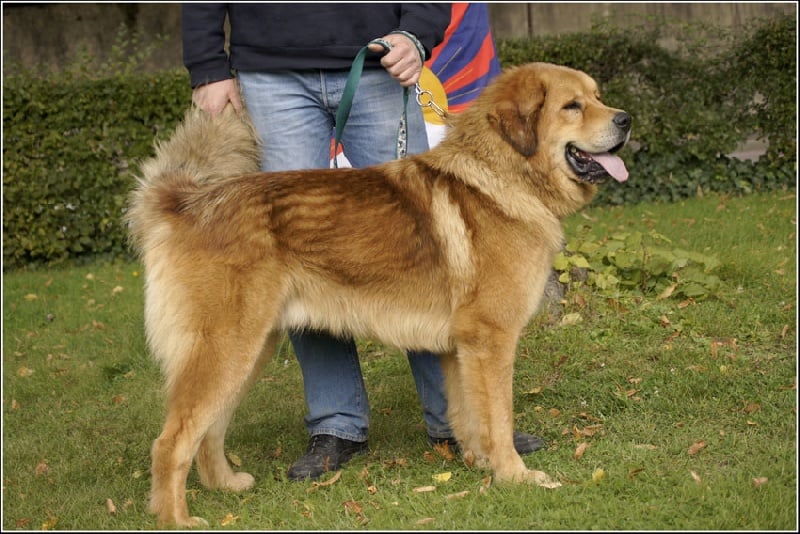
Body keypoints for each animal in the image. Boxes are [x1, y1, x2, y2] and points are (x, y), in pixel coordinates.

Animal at [126, 62, 632, 528]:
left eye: (597, 97)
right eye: (572, 106)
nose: (626, 120)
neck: (500, 174)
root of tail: (187, 202)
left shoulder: (460, 350)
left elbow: (467, 416)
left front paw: (479, 464)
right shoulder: (491, 342)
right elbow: (498, 419)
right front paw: (515, 476)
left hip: (247, 352)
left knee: (209, 431)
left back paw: (226, 485)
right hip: (226, 351)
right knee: (171, 442)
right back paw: (177, 519)